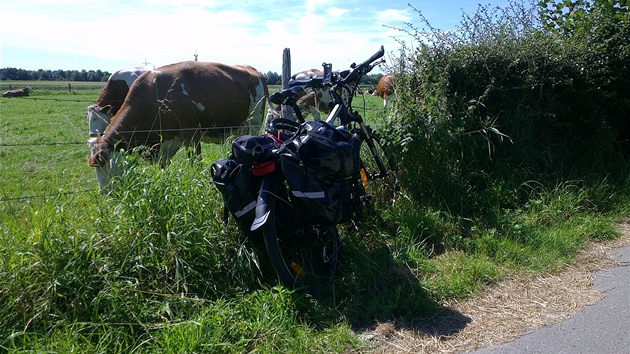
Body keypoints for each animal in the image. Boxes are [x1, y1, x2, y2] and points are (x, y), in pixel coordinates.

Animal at [87, 60, 270, 189]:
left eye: (102, 163)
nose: (106, 193)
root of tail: (253, 70)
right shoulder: (164, 142)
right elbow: (162, 167)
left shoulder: (192, 134)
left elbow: (195, 163)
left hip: (254, 122)